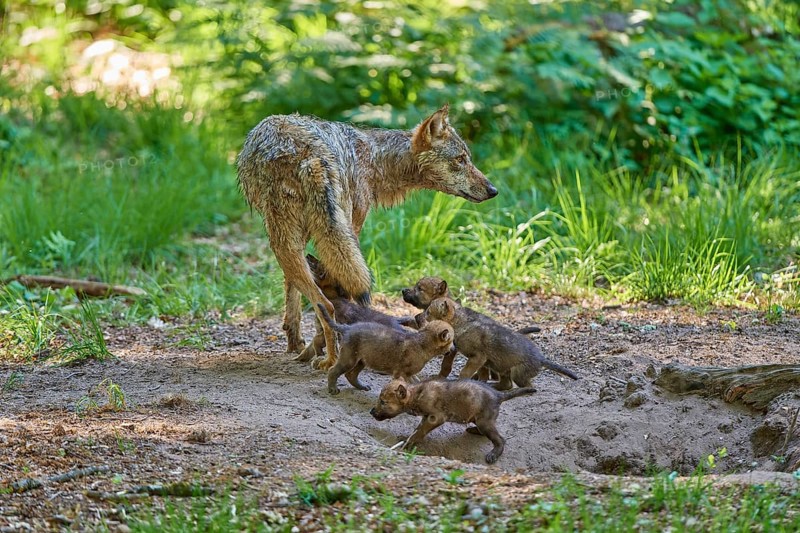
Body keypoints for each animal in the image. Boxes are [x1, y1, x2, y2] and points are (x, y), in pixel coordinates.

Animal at [237, 105, 496, 370]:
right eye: (460, 160)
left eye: (467, 158)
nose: (493, 190)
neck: (373, 158)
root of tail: (311, 157)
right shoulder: (353, 228)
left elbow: (291, 292)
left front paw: (295, 342)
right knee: (327, 305)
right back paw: (331, 359)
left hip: (288, 243)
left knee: (318, 298)